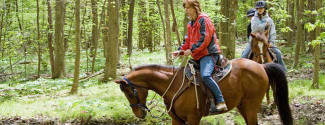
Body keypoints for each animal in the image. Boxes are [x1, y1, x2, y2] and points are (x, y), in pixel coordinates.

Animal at [115, 59, 292, 124]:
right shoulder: (176, 120)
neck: (173, 85)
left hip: (251, 106)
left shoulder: (193, 118)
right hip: (242, 106)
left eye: (130, 93)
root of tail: (261, 66)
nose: (139, 114)